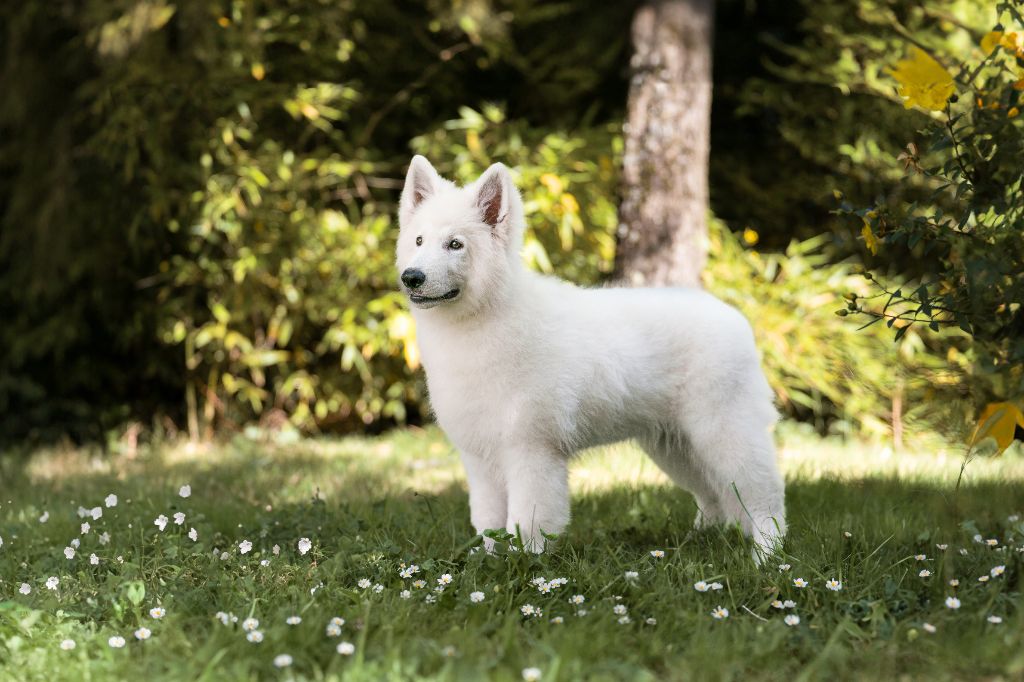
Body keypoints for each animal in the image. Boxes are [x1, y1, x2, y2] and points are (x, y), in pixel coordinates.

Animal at [395, 155, 786, 557]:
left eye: (455, 244)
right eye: (419, 240)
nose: (411, 277)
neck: (484, 319)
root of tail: (735, 316)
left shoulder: (532, 453)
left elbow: (527, 521)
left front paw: (525, 564)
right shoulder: (481, 460)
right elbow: (488, 522)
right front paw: (487, 561)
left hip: (725, 435)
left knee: (764, 496)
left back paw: (766, 555)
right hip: (677, 447)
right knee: (715, 497)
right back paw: (698, 541)